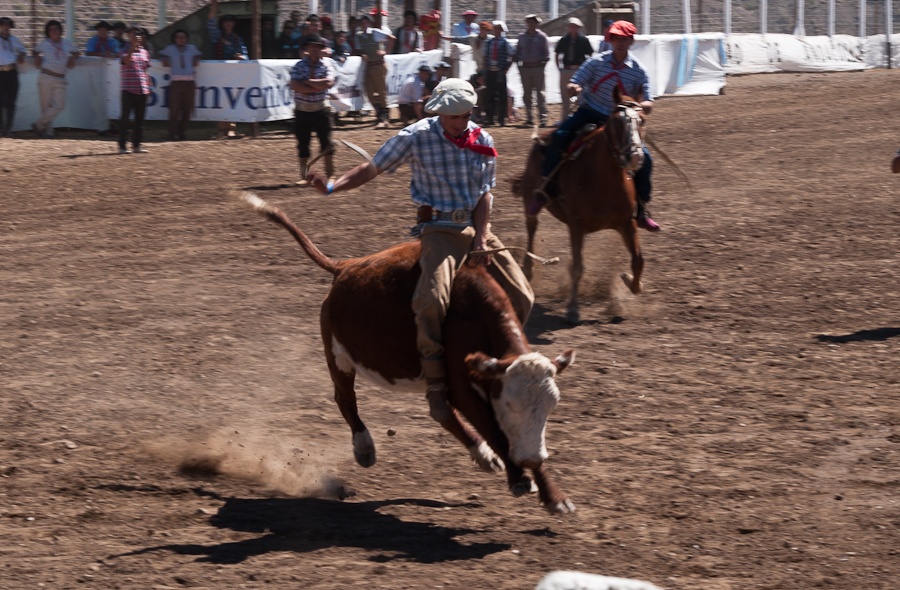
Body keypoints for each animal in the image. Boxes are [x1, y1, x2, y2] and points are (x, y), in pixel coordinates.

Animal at [512, 89, 648, 324]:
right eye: (617, 121)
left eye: (641, 120)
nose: (635, 156)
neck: (604, 179)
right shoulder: (576, 225)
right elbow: (577, 266)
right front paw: (573, 309)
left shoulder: (627, 223)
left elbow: (638, 260)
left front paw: (630, 280)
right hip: (530, 199)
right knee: (531, 228)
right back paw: (527, 270)